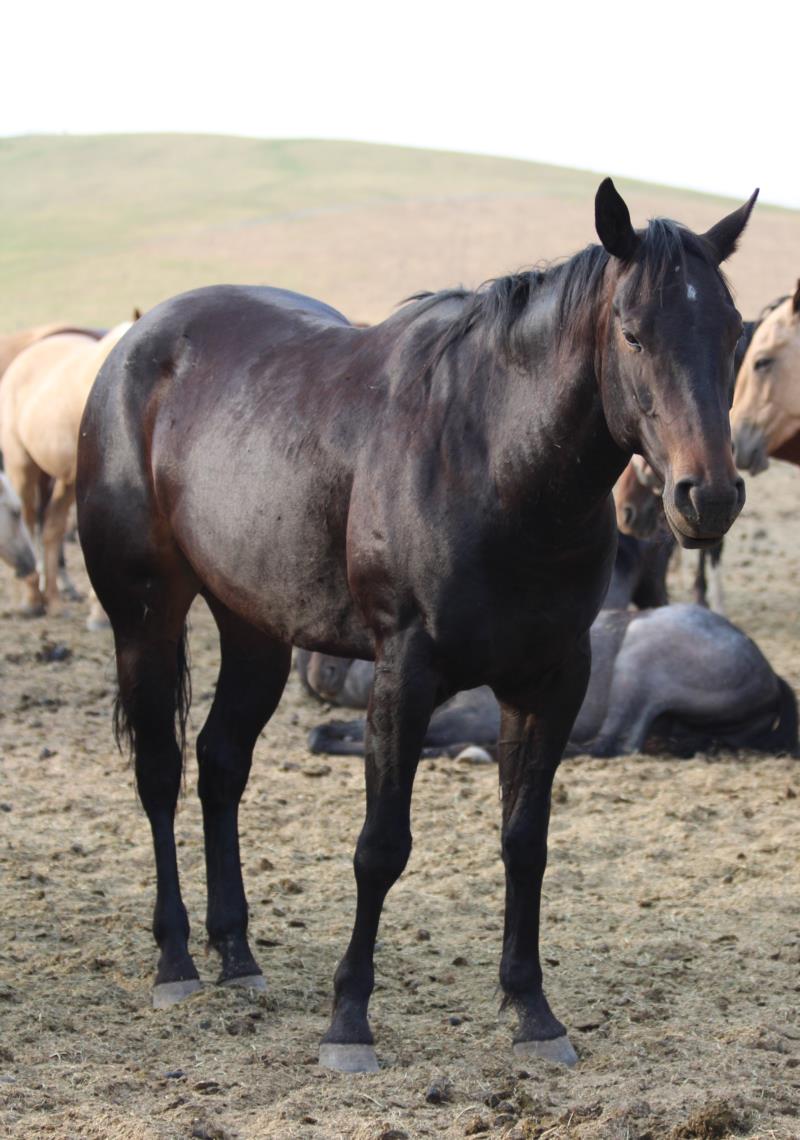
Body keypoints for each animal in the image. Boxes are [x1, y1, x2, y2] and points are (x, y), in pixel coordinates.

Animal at [298, 606, 797, 756]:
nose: (321, 673)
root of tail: (768, 674)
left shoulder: (467, 717)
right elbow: (330, 733)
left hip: (640, 657)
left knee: (612, 745)